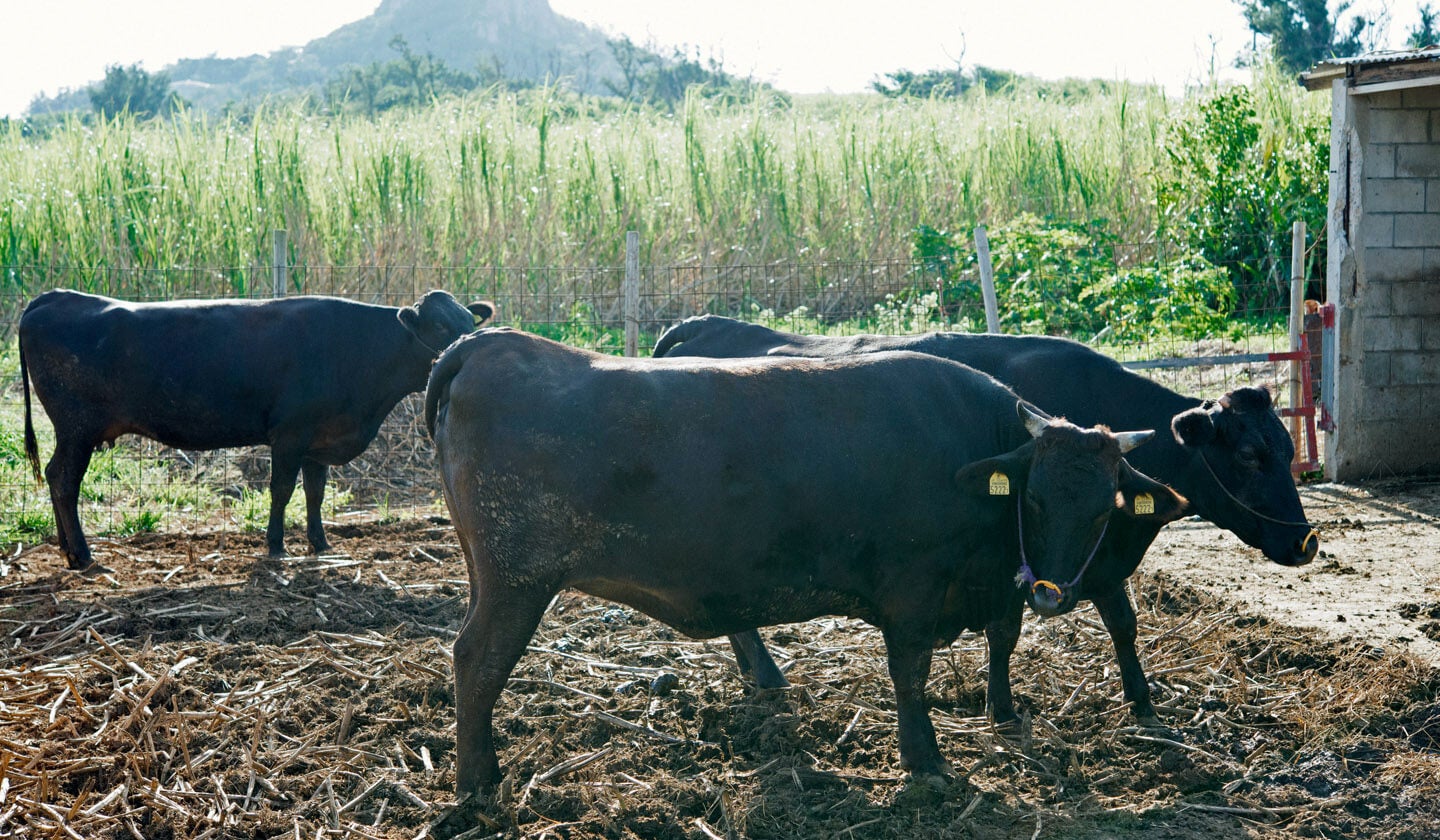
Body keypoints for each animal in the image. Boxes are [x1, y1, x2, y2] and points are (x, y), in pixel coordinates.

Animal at [18, 288, 495, 570]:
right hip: (77, 429)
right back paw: (82, 555)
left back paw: (67, 550)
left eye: (470, 323)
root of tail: (57, 297)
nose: (470, 349)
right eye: (439, 326)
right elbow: (281, 491)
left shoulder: (318, 439)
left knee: (57, 479)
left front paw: (321, 545)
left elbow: (315, 493)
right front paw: (276, 547)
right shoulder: (289, 434)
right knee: (63, 480)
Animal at [420, 328, 1186, 795]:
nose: (1054, 594)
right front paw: (926, 761)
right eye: (1036, 497)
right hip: (516, 584)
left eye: (1104, 507)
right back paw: (477, 780)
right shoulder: (913, 592)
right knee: (476, 663)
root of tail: (490, 344)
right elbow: (910, 674)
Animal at [659, 315, 1319, 729]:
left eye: (1288, 448)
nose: (1304, 542)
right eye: (1248, 455)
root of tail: (696, 325)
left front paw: (1143, 701)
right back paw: (767, 672)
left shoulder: (1099, 559)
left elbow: (1124, 626)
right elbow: (1007, 633)